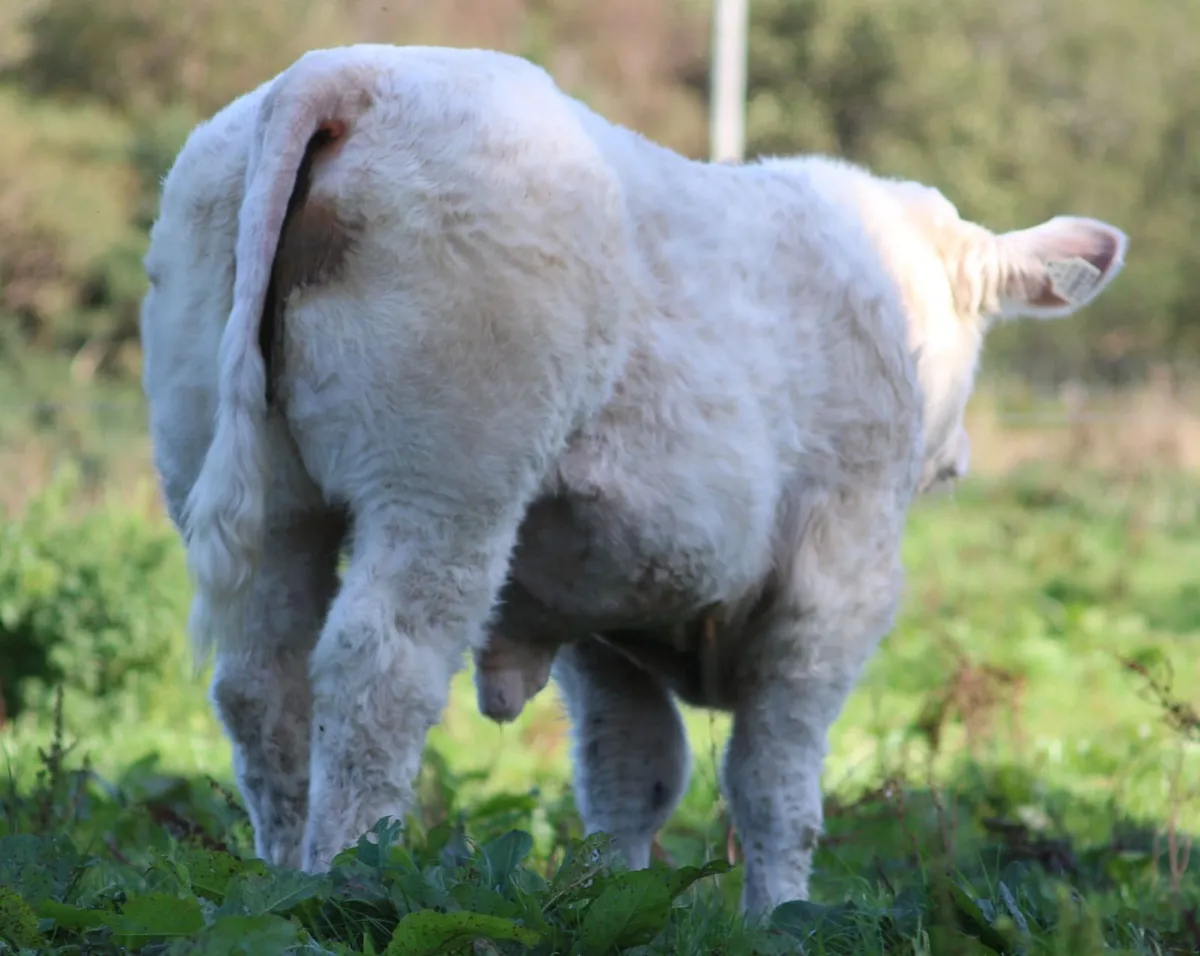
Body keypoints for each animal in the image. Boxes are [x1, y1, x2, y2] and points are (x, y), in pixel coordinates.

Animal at [139, 42, 1127, 915]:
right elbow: (774, 785)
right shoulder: (836, 581)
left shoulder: (598, 610)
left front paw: (616, 899)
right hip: (443, 486)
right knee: (375, 670)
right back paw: (347, 884)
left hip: (250, 486)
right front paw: (778, 918)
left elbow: (631, 775)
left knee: (263, 684)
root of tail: (347, 71)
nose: (956, 459)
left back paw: (279, 882)